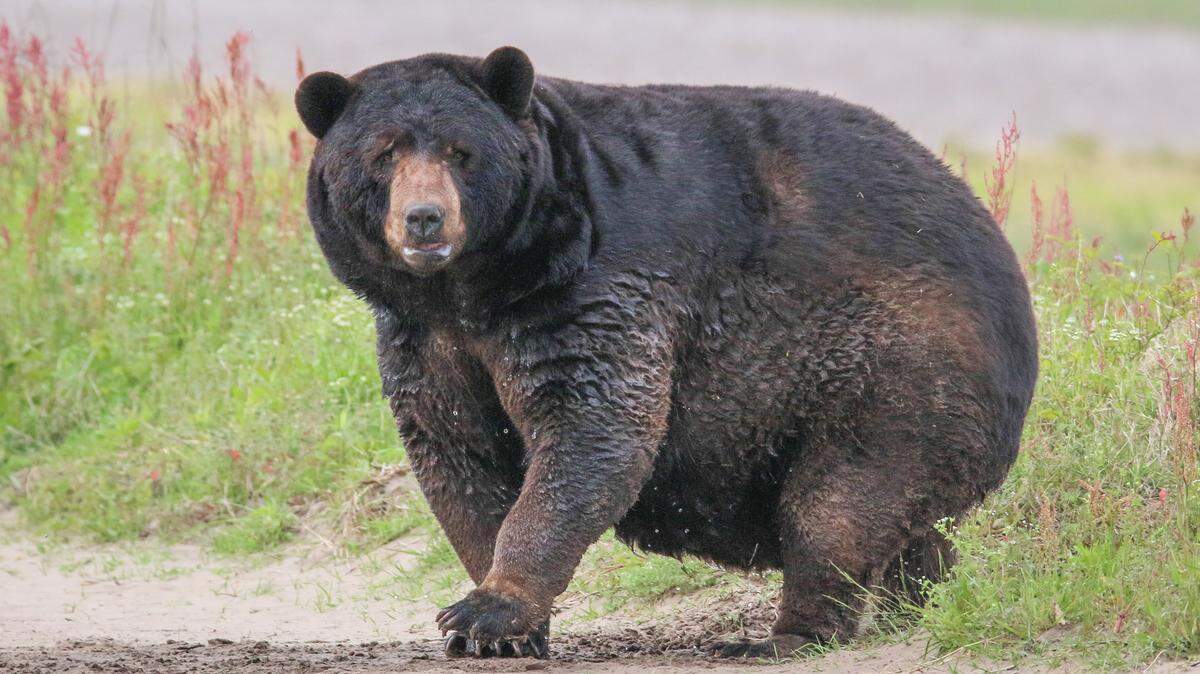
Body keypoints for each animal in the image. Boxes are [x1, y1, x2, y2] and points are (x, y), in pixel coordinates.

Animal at [295, 46, 1037, 659]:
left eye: (460, 151)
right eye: (383, 153)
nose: (424, 219)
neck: (482, 284)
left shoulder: (594, 291)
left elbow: (593, 430)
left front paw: (489, 611)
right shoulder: (430, 338)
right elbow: (457, 452)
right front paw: (506, 623)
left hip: (897, 364)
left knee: (839, 505)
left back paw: (785, 633)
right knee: (906, 525)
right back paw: (917, 596)